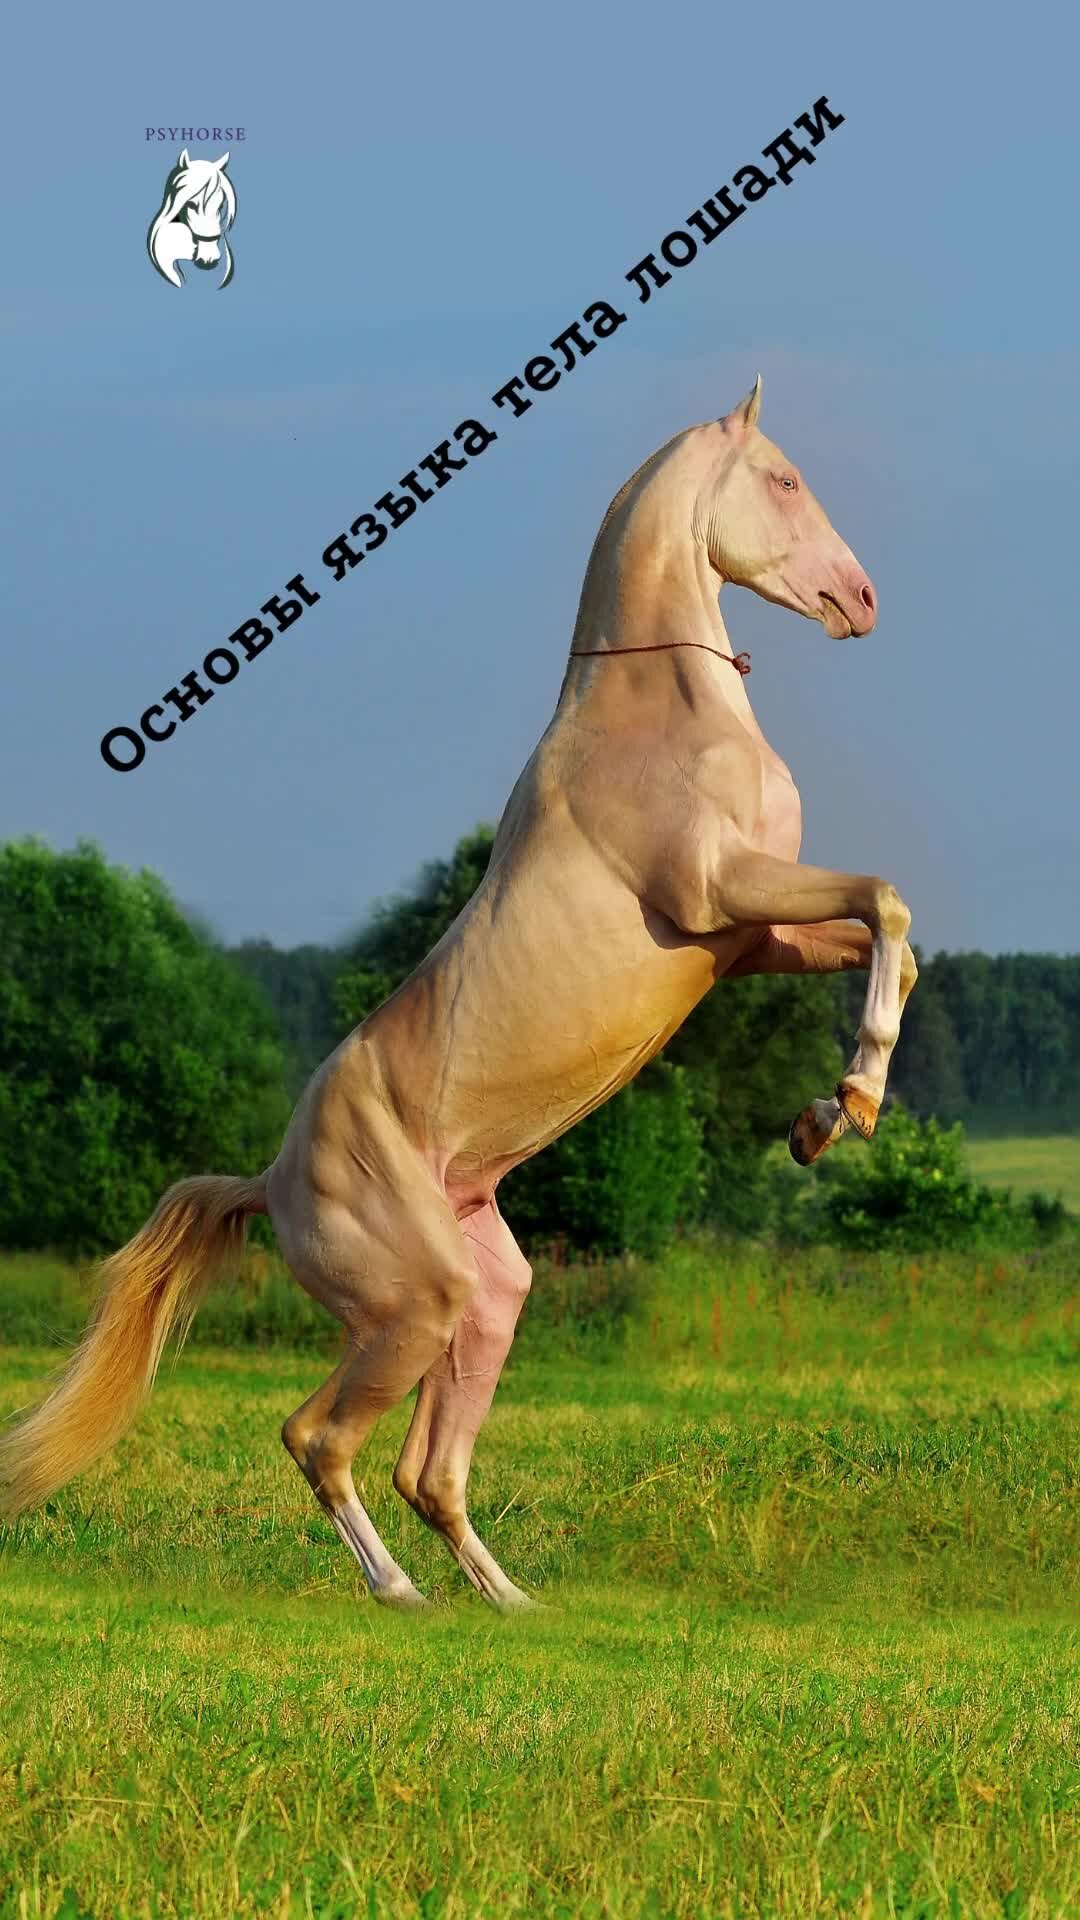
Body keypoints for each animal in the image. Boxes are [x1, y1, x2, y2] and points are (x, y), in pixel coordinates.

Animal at [0, 379, 917, 1610]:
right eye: (783, 478)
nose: (859, 600)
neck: (662, 713)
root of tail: (269, 1184)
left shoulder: (748, 939)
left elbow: (887, 934)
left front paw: (820, 1122)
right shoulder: (719, 894)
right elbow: (889, 904)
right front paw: (850, 1106)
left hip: (489, 1301)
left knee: (427, 1471)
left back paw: (511, 1604)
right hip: (412, 1307)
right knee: (319, 1440)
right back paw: (397, 1593)